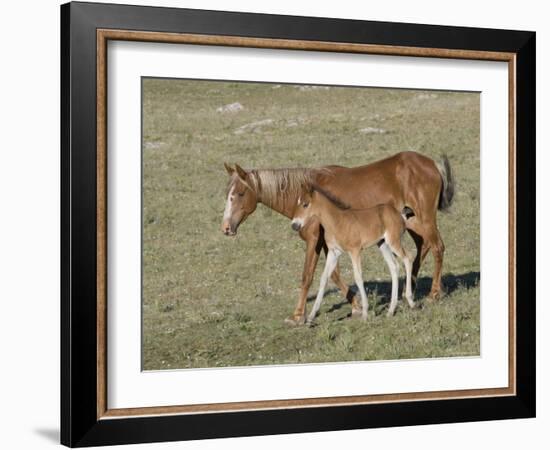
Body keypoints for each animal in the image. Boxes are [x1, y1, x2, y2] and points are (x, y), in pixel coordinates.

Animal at [294, 184, 414, 324]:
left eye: (305, 204)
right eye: (297, 202)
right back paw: (390, 311)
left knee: (408, 258)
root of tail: (399, 214)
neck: (337, 221)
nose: (294, 225)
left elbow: (358, 277)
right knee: (394, 267)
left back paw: (411, 301)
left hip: (393, 241)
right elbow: (324, 278)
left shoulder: (354, 251)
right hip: (383, 244)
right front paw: (311, 316)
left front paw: (365, 313)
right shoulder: (334, 253)